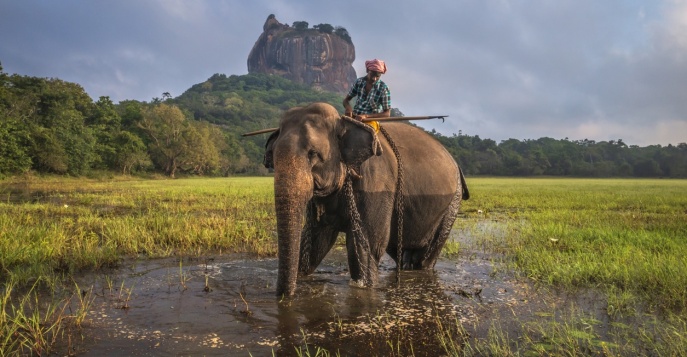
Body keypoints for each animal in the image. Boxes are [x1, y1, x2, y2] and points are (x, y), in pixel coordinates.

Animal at [262, 102, 468, 294]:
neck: (344, 123)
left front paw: (364, 286)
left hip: (452, 203)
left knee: (424, 257)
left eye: (313, 153)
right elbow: (316, 241)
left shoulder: (375, 184)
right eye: (273, 155)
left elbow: (364, 247)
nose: (285, 296)